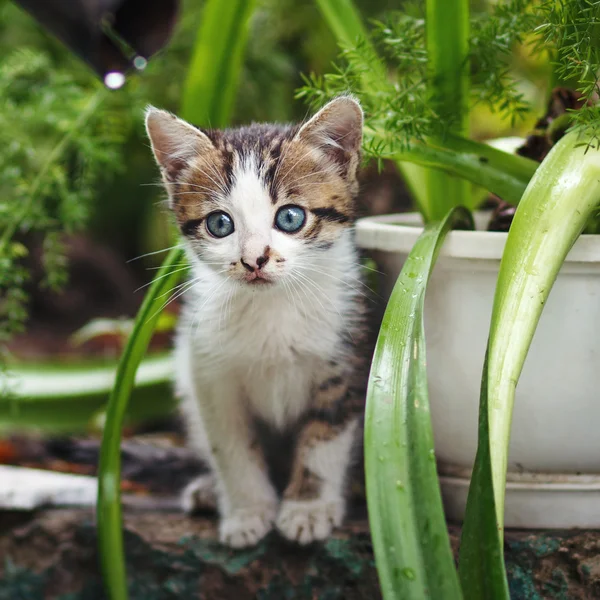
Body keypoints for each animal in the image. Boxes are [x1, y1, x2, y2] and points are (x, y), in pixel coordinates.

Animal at [146, 97, 370, 548]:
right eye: (220, 224)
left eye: (290, 218)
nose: (254, 260)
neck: (272, 307)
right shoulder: (210, 374)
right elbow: (233, 449)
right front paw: (248, 511)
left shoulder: (344, 360)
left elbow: (323, 440)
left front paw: (307, 509)